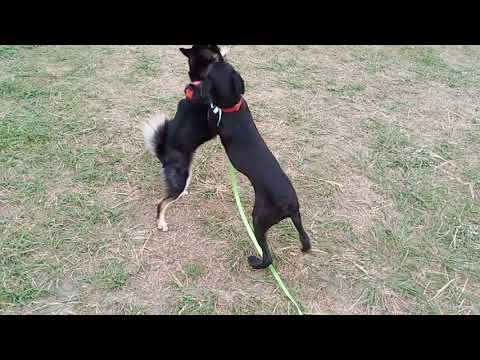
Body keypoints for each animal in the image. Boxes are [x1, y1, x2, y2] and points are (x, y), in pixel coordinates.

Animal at [142, 45, 227, 231]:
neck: (199, 81)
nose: (220, 49)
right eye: (214, 48)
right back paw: (161, 223)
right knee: (161, 203)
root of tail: (162, 155)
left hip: (186, 173)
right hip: (180, 178)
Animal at [198, 62, 314, 268]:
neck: (232, 107)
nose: (215, 59)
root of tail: (290, 204)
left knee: (268, 256)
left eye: (211, 69)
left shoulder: (212, 121)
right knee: (305, 238)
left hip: (259, 218)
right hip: (295, 220)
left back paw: (256, 262)